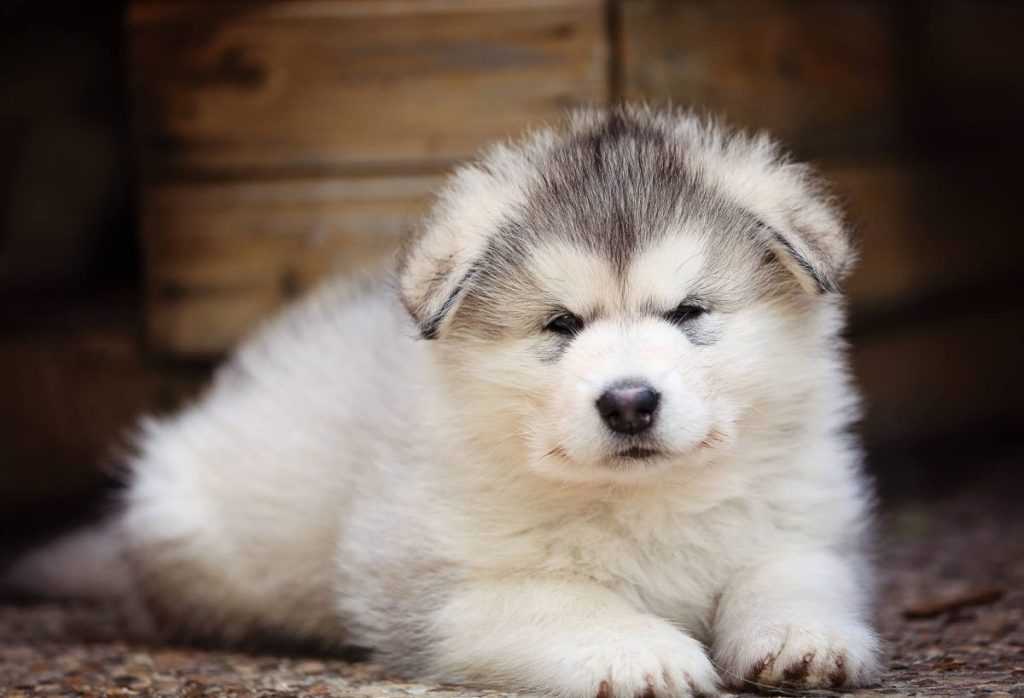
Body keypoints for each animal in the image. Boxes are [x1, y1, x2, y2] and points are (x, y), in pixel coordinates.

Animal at [6, 105, 880, 691]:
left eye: (689, 313)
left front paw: (802, 639)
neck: (642, 501)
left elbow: (792, 572)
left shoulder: (804, 516)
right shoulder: (433, 588)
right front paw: (641, 651)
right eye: (561, 324)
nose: (629, 401)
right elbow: (558, 600)